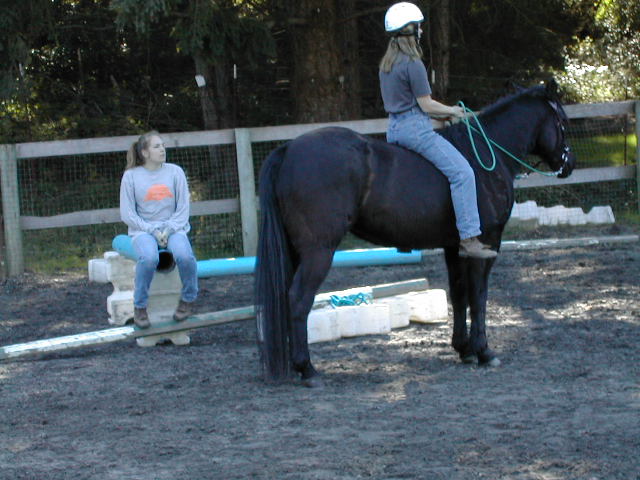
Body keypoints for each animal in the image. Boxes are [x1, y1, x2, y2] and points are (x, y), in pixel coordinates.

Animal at [254, 79, 576, 387]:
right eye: (562, 120)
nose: (569, 165)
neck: (487, 153)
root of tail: (289, 149)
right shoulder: (486, 244)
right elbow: (478, 296)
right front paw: (484, 351)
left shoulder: (454, 247)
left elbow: (459, 294)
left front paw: (464, 349)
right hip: (319, 251)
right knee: (298, 299)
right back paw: (307, 369)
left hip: (296, 251)